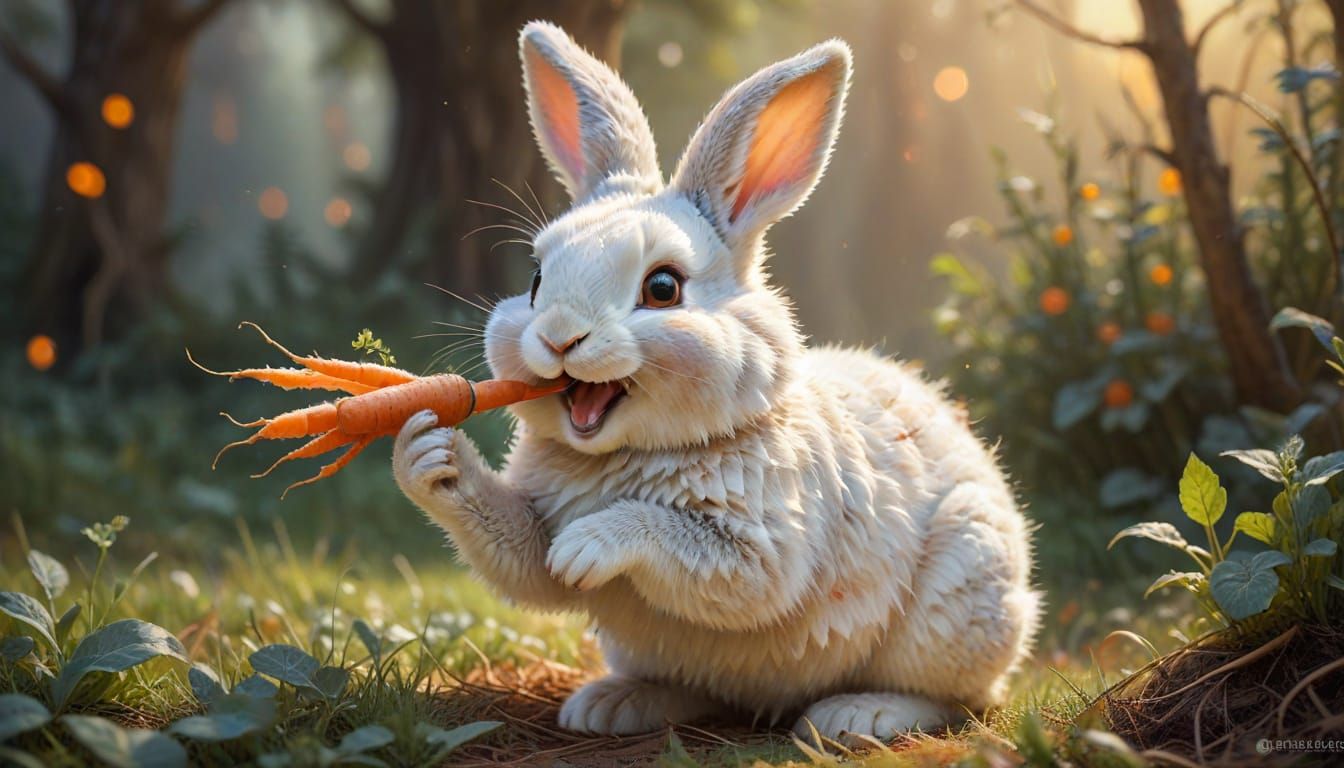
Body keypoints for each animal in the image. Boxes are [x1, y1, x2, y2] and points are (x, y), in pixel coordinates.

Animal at [393, 21, 1041, 742]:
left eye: (663, 287)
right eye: (535, 282)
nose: (559, 337)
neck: (634, 452)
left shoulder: (763, 549)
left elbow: (684, 549)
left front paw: (589, 545)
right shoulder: (536, 524)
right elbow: (528, 562)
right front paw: (427, 452)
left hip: (962, 586)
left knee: (960, 697)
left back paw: (858, 715)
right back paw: (613, 705)